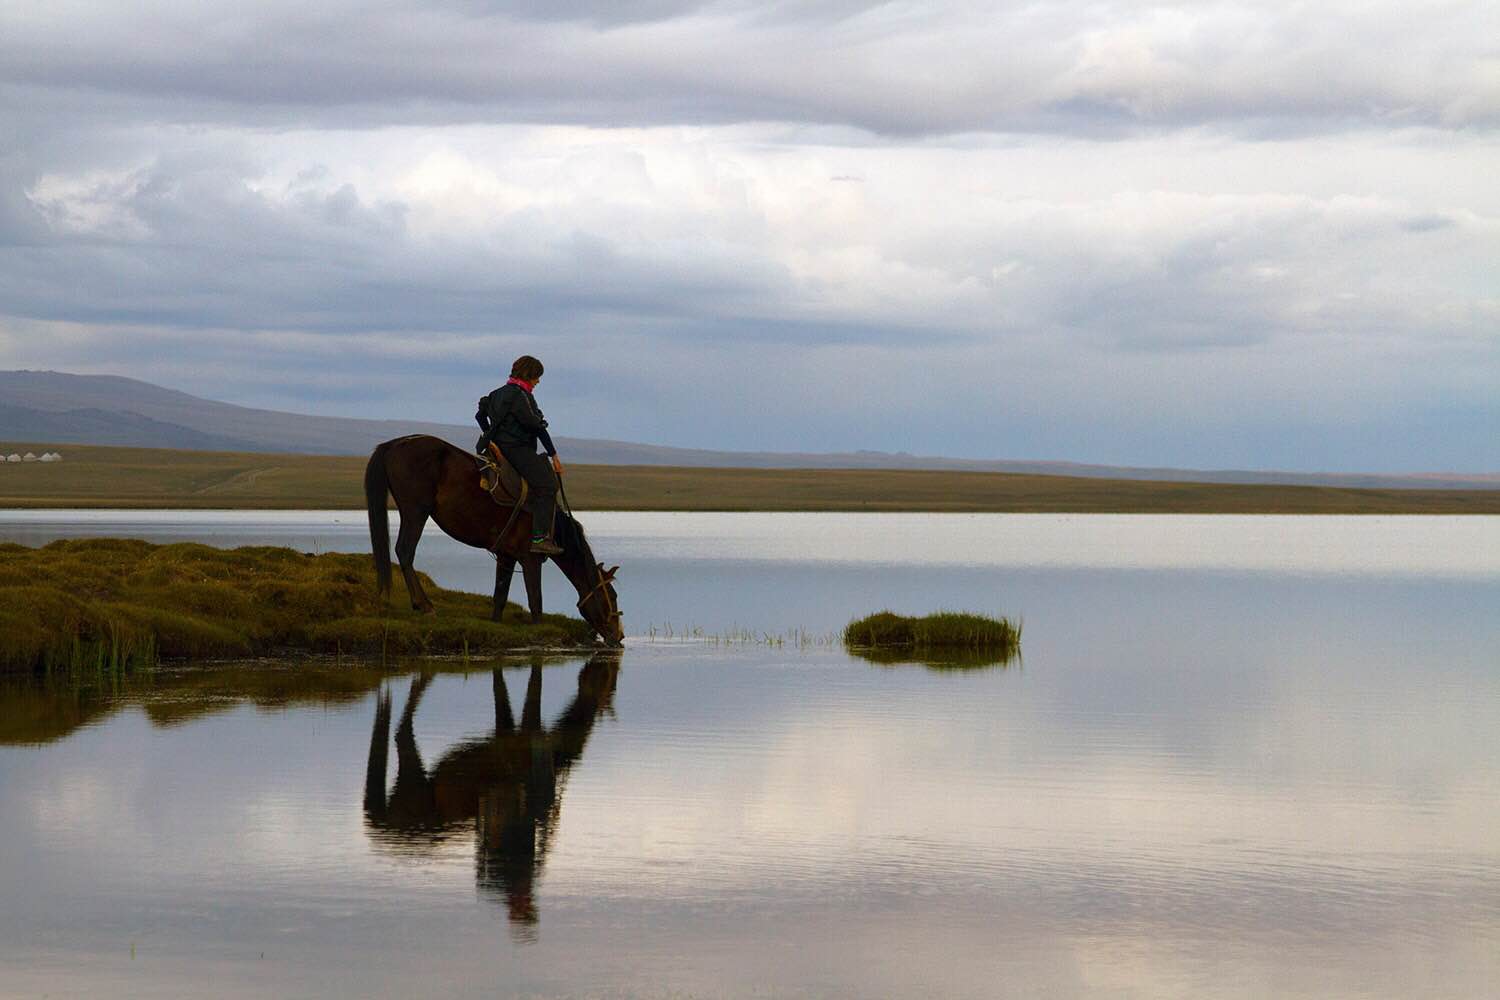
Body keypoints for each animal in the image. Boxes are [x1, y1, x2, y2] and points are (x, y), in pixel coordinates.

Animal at [363, 434, 621, 644]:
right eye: (612, 597)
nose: (619, 636)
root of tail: (394, 444)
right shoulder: (530, 559)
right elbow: (535, 601)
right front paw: (539, 630)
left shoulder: (506, 556)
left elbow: (500, 596)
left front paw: (496, 623)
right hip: (416, 511)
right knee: (405, 551)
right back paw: (424, 606)